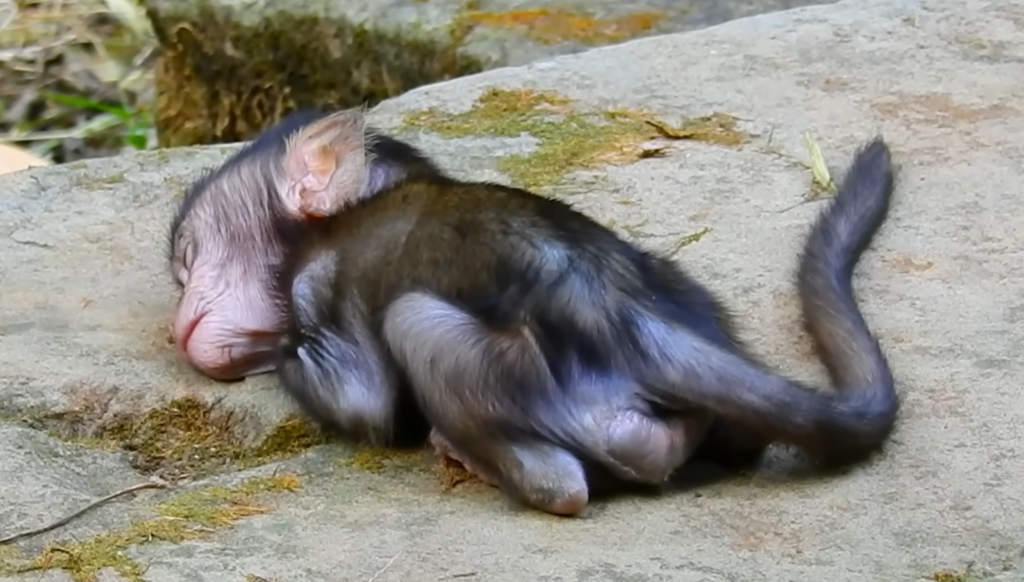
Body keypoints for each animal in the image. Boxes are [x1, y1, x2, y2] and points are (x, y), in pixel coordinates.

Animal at [270, 107, 901, 516]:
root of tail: (629, 316)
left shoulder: (313, 287)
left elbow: (363, 403)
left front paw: (279, 358)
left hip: (511, 371)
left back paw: (481, 458)